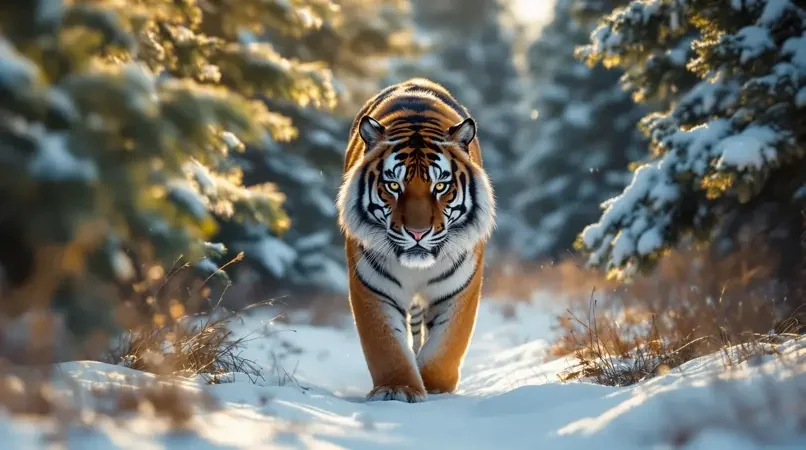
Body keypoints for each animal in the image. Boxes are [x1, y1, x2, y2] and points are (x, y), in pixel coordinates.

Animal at [336, 78, 496, 403]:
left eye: (441, 186)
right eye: (393, 186)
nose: (418, 233)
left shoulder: (460, 288)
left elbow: (446, 346)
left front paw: (434, 385)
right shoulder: (371, 286)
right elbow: (385, 345)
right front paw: (397, 388)